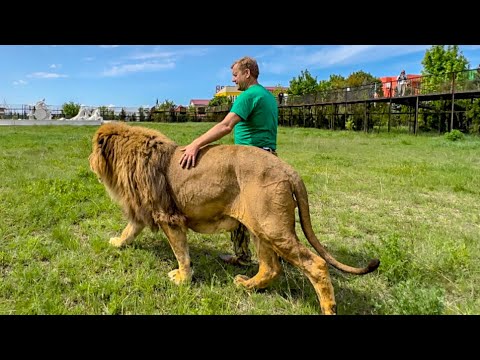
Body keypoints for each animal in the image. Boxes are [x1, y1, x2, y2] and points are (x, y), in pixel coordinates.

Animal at [89, 122, 378, 314]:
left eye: (93, 148)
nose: (89, 160)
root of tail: (289, 169)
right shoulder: (143, 210)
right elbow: (128, 231)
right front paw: (117, 243)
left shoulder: (168, 216)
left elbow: (181, 252)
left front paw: (182, 278)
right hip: (260, 227)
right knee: (271, 267)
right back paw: (246, 285)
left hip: (273, 227)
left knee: (316, 264)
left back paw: (327, 307)